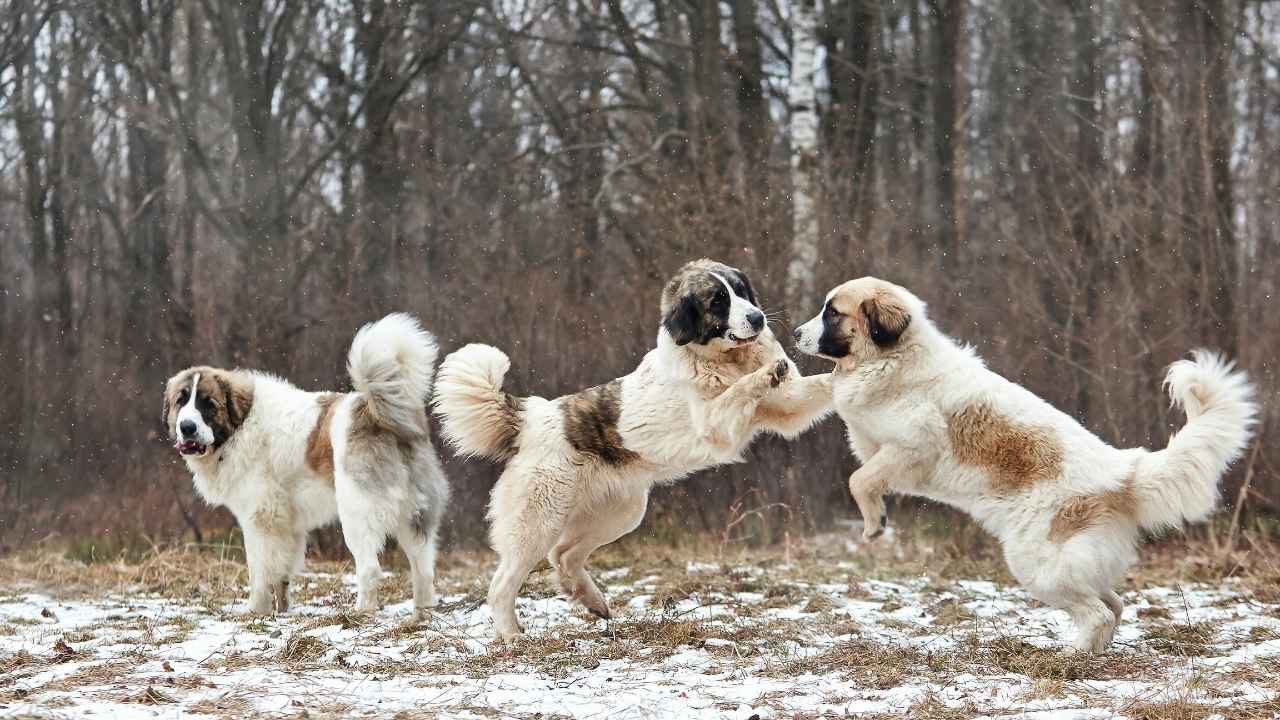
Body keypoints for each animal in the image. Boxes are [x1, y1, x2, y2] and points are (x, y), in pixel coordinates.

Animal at [162, 311, 450, 614]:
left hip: (357, 513)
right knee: (424, 569)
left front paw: (255, 611)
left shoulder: (259, 519)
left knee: (370, 569)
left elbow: (259, 571)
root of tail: (379, 413)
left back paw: (361, 612)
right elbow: (281, 573)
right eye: (181, 401)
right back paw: (423, 612)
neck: (241, 424)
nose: (187, 427)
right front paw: (282, 610)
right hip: (415, 516)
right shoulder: (287, 525)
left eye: (208, 404)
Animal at [435, 257, 834, 638]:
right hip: (538, 522)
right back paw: (513, 637)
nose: (757, 317)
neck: (724, 359)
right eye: (719, 301)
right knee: (505, 582)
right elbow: (739, 389)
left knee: (563, 554)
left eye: (741, 291)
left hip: (622, 513)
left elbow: (822, 385)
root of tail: (531, 417)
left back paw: (592, 601)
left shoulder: (787, 406)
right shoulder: (715, 423)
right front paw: (764, 374)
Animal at [793, 274, 1254, 650]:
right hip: (1072, 564)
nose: (796, 333)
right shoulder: (875, 444)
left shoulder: (912, 447)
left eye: (832, 313)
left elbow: (859, 480)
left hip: (1038, 564)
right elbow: (862, 467)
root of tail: (1123, 470)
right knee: (1114, 604)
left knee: (1098, 612)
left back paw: (1071, 658)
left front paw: (874, 525)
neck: (893, 358)